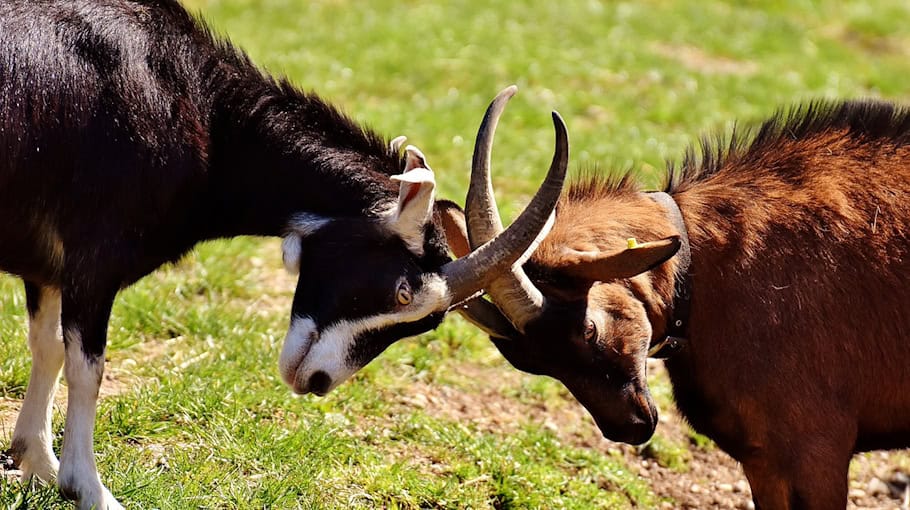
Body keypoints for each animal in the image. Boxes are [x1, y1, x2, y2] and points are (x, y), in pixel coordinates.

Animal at [0, 1, 568, 508]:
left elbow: (48, 346)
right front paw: (86, 489)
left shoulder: (49, 268)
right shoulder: (94, 266)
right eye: (403, 291)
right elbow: (87, 367)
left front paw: (37, 462)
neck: (198, 108)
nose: (317, 382)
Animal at [448, 96, 910, 510]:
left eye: (589, 328)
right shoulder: (765, 461)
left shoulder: (814, 451)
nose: (630, 427)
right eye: (533, 364)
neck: (707, 266)